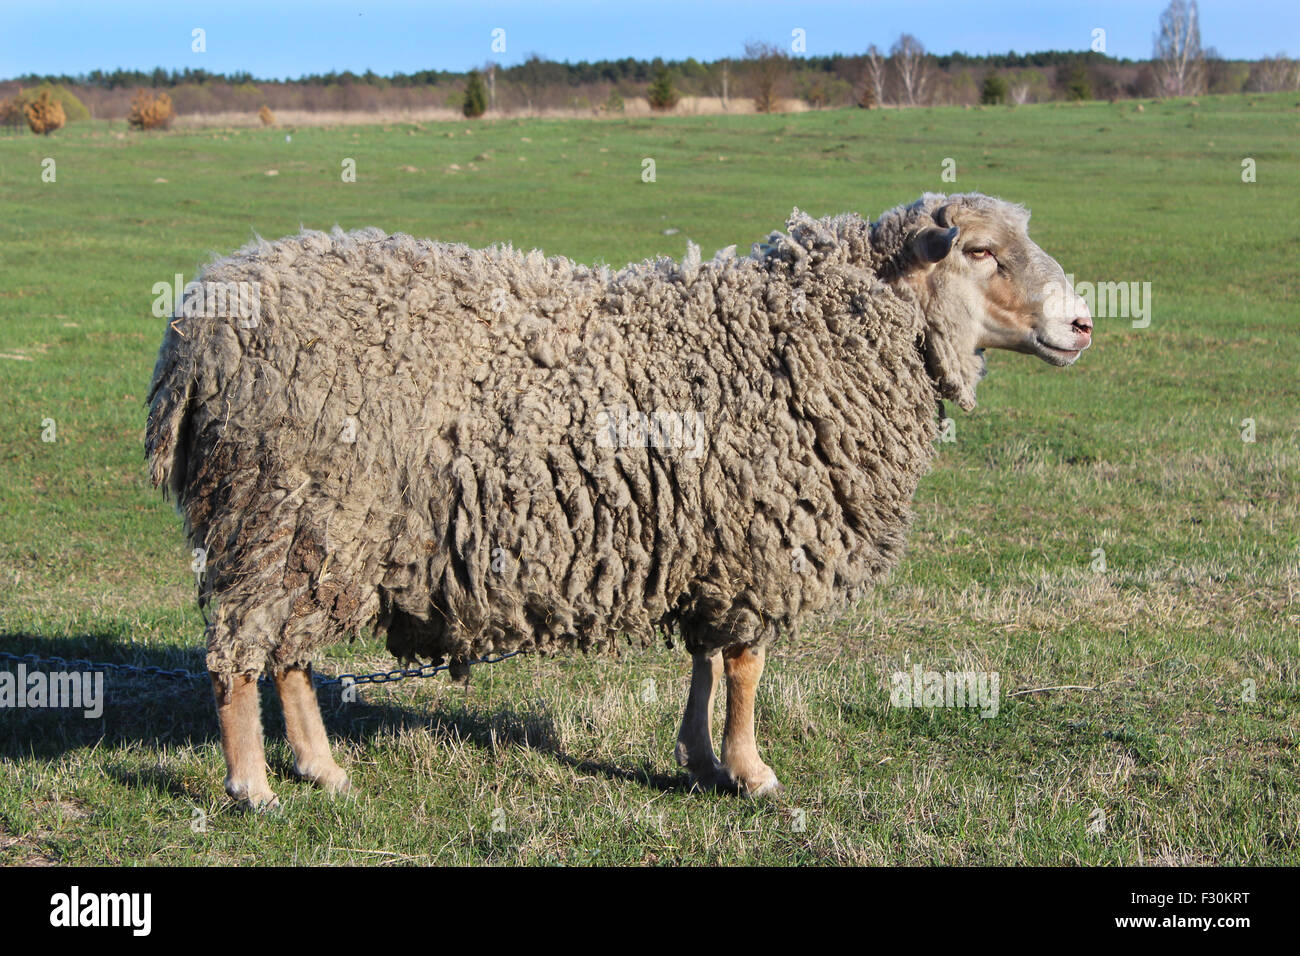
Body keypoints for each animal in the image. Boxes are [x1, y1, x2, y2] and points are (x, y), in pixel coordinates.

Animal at [145, 191, 1092, 806]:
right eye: (978, 251)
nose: (1082, 323)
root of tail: (195, 331)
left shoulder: (713, 544)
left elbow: (707, 662)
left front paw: (702, 760)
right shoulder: (758, 543)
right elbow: (746, 667)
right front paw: (753, 774)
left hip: (310, 532)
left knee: (288, 652)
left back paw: (321, 769)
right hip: (276, 515)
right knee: (240, 654)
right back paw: (254, 785)